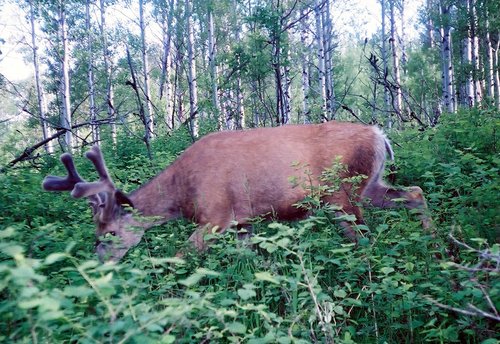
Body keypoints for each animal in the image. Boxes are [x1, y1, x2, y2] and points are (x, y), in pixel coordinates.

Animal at [44, 121, 430, 260]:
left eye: (108, 233)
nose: (99, 263)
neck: (182, 192)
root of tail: (381, 135)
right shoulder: (245, 221)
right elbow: (248, 261)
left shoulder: (217, 215)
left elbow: (181, 256)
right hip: (370, 186)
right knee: (414, 191)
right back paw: (436, 244)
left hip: (341, 194)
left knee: (363, 237)